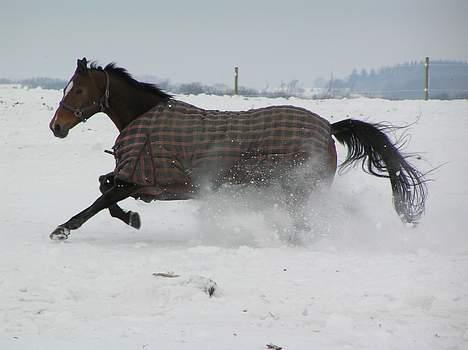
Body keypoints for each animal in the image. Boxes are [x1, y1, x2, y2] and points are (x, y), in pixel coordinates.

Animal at [48, 58, 428, 242]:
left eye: (77, 90)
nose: (56, 127)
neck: (146, 118)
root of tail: (328, 127)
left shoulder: (140, 179)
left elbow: (99, 201)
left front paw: (63, 229)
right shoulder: (135, 181)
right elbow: (103, 188)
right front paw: (132, 218)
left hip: (300, 188)